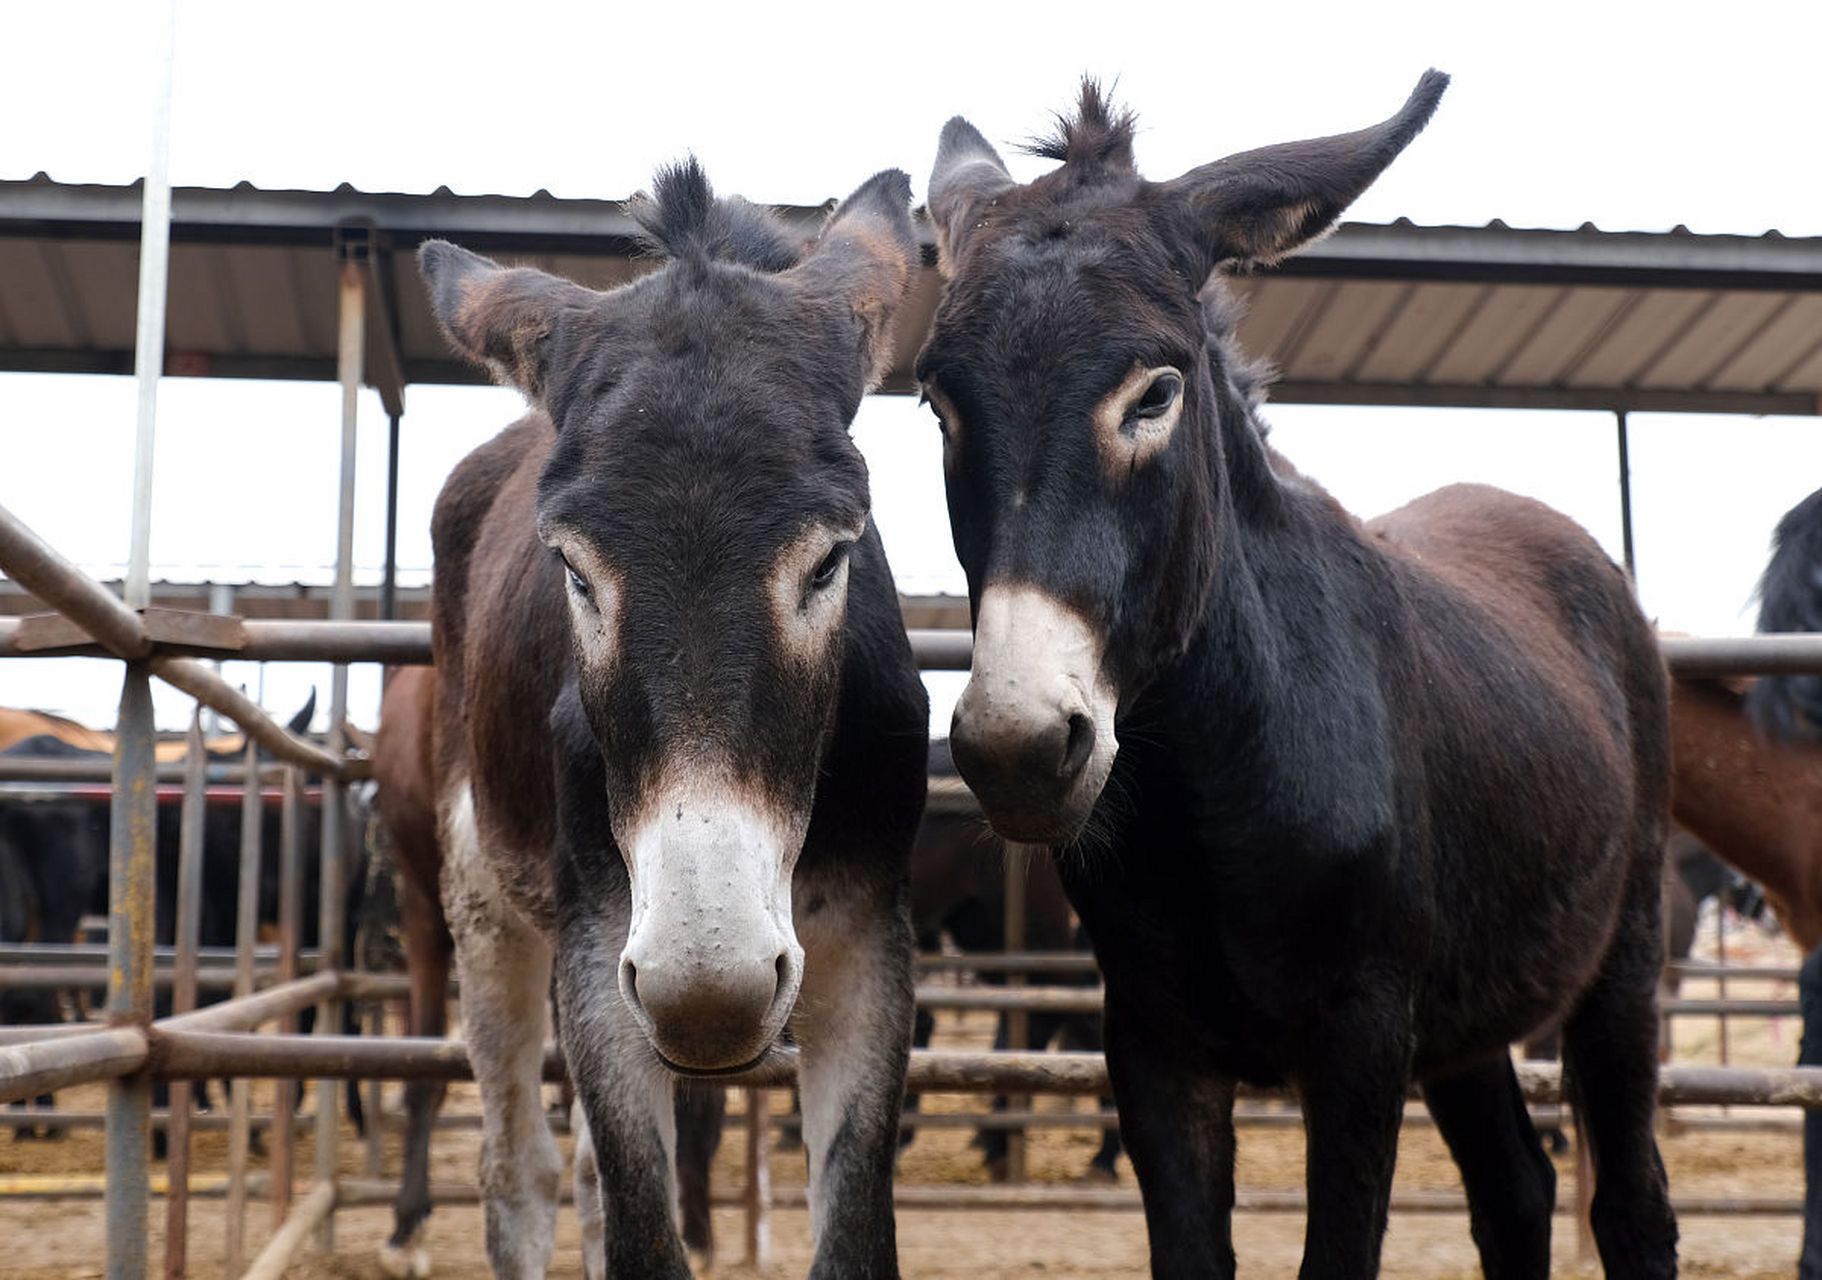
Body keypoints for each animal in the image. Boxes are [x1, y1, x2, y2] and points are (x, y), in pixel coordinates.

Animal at [925, 75, 1676, 1274]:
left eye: (1155, 395)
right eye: (938, 405)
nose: (1017, 749)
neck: (1207, 778)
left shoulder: (1360, 1036)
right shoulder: (1154, 1042)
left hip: (1620, 952)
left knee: (1629, 1205)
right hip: (1462, 1009)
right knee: (1516, 1186)